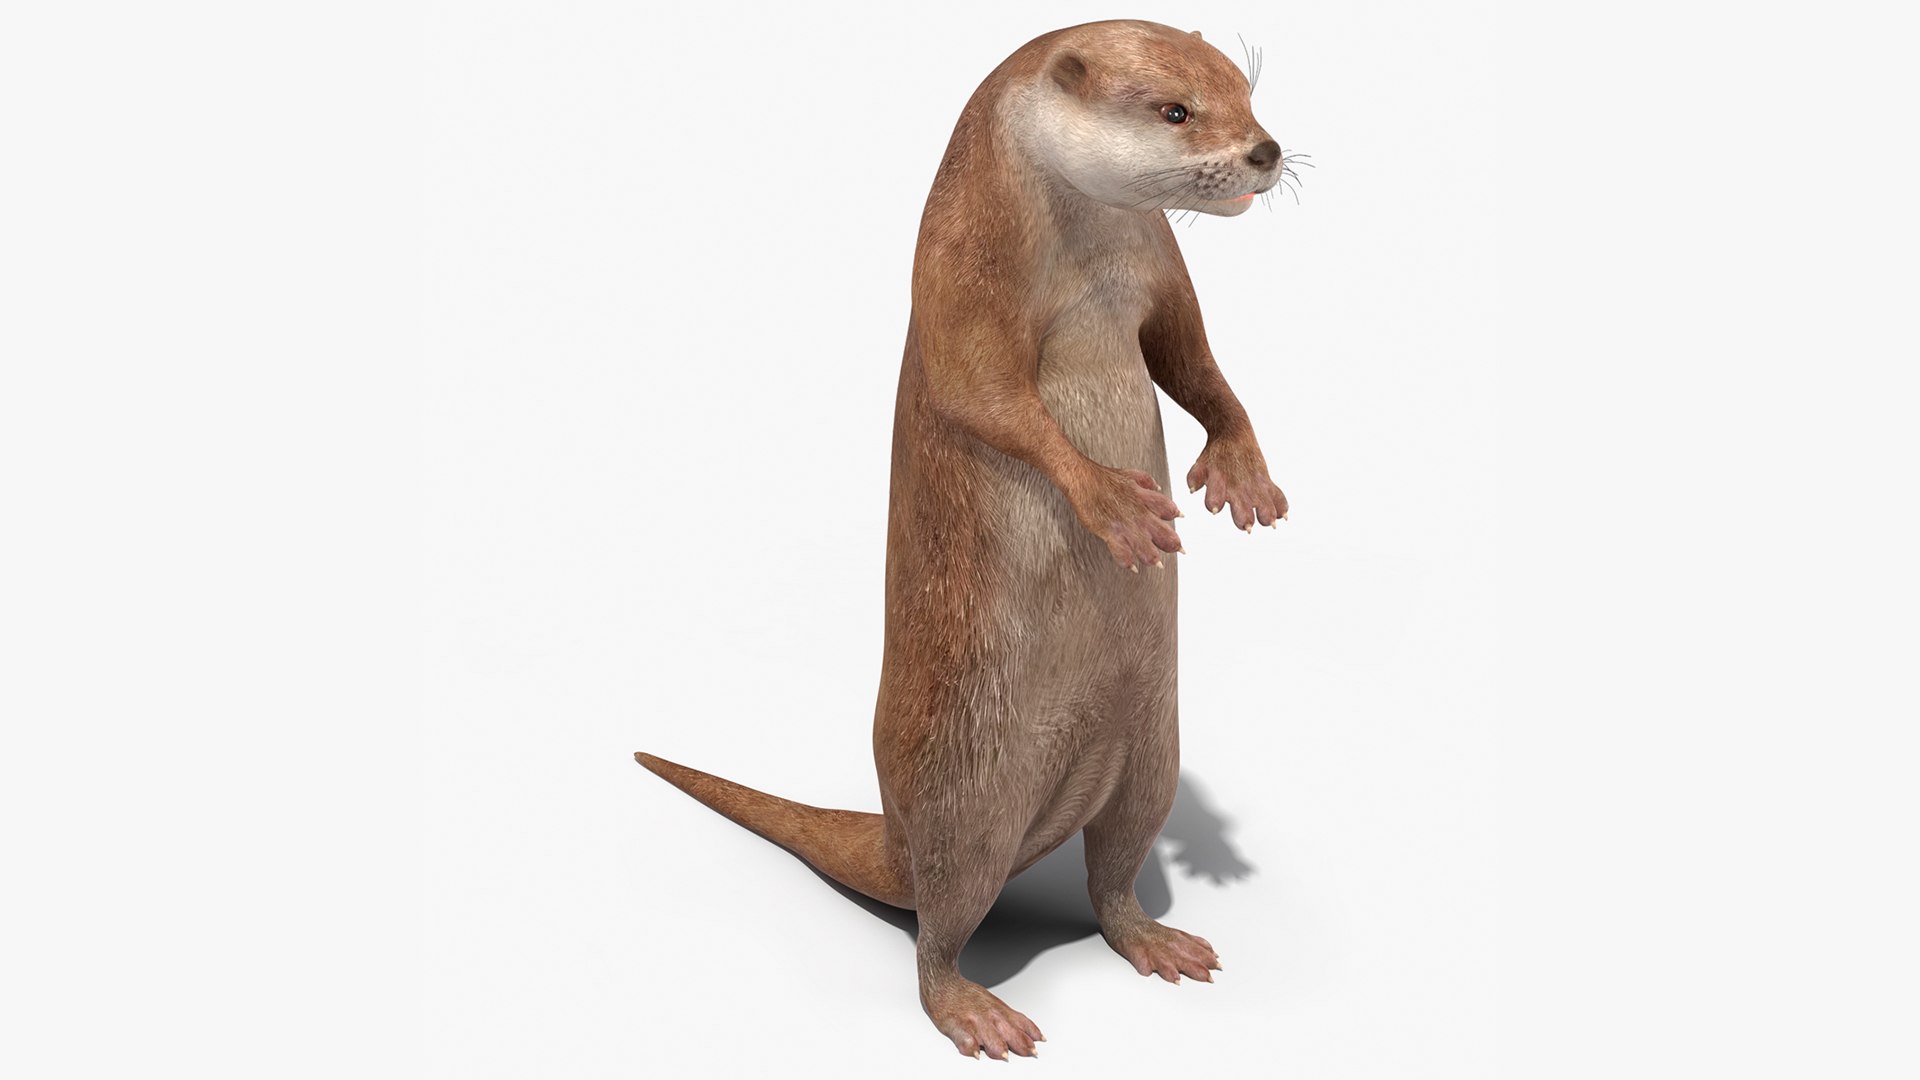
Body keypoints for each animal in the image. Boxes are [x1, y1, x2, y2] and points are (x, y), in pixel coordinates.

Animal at [636, 19, 1291, 1059]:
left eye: (1248, 92)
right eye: (1176, 110)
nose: (1266, 151)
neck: (1081, 257)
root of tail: (897, 835)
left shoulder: (1155, 264)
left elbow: (1193, 357)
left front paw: (1243, 471)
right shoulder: (958, 267)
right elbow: (982, 394)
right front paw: (1113, 501)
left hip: (1154, 742)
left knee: (1116, 869)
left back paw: (1156, 939)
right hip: (968, 794)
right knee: (940, 925)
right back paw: (974, 1009)